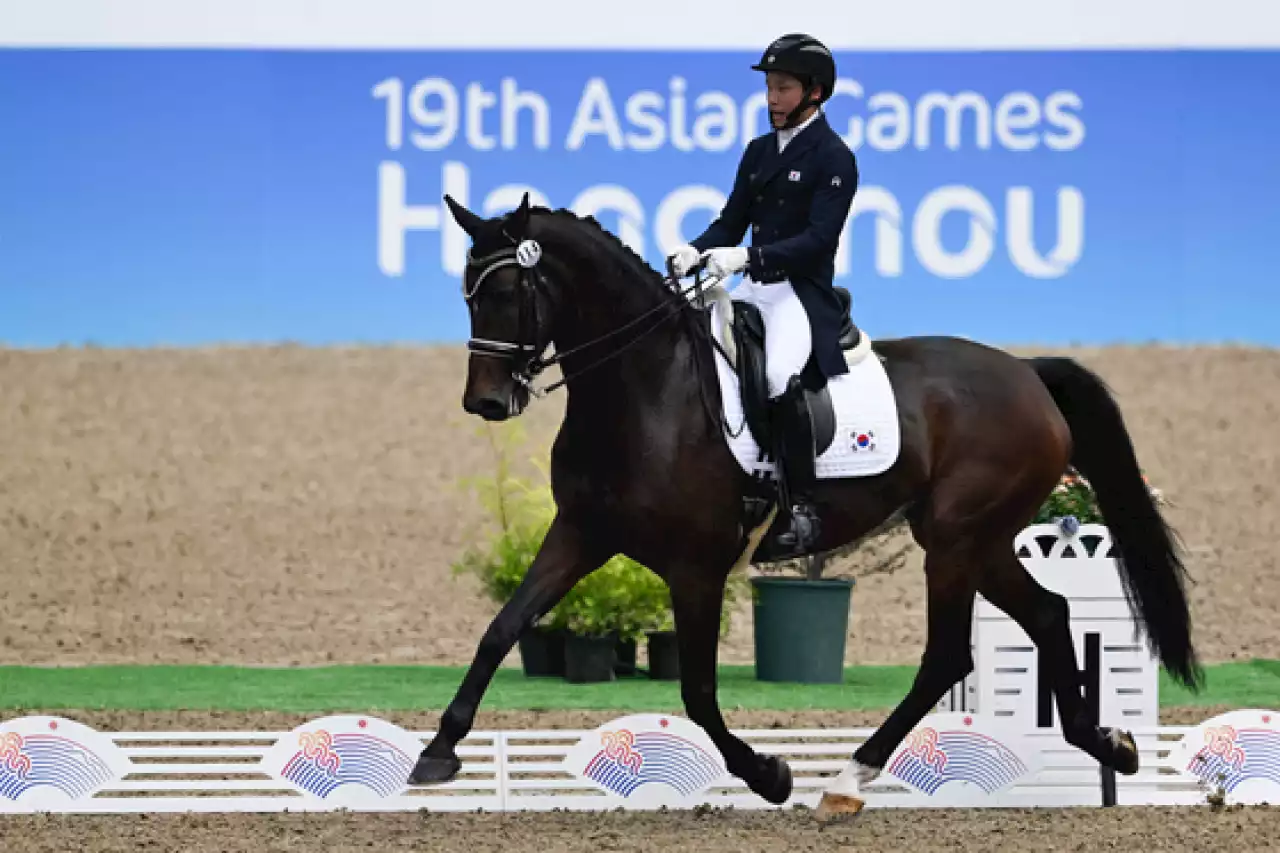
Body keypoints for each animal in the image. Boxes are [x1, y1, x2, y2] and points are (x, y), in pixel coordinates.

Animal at [409, 192, 1198, 819]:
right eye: (468, 294)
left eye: (509, 294)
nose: (486, 402)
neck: (643, 387)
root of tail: (1028, 374)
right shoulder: (581, 532)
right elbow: (501, 628)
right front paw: (438, 751)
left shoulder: (695, 568)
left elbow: (697, 690)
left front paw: (770, 774)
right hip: (978, 539)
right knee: (1048, 614)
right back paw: (1109, 745)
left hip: (955, 539)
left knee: (948, 653)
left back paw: (847, 778)